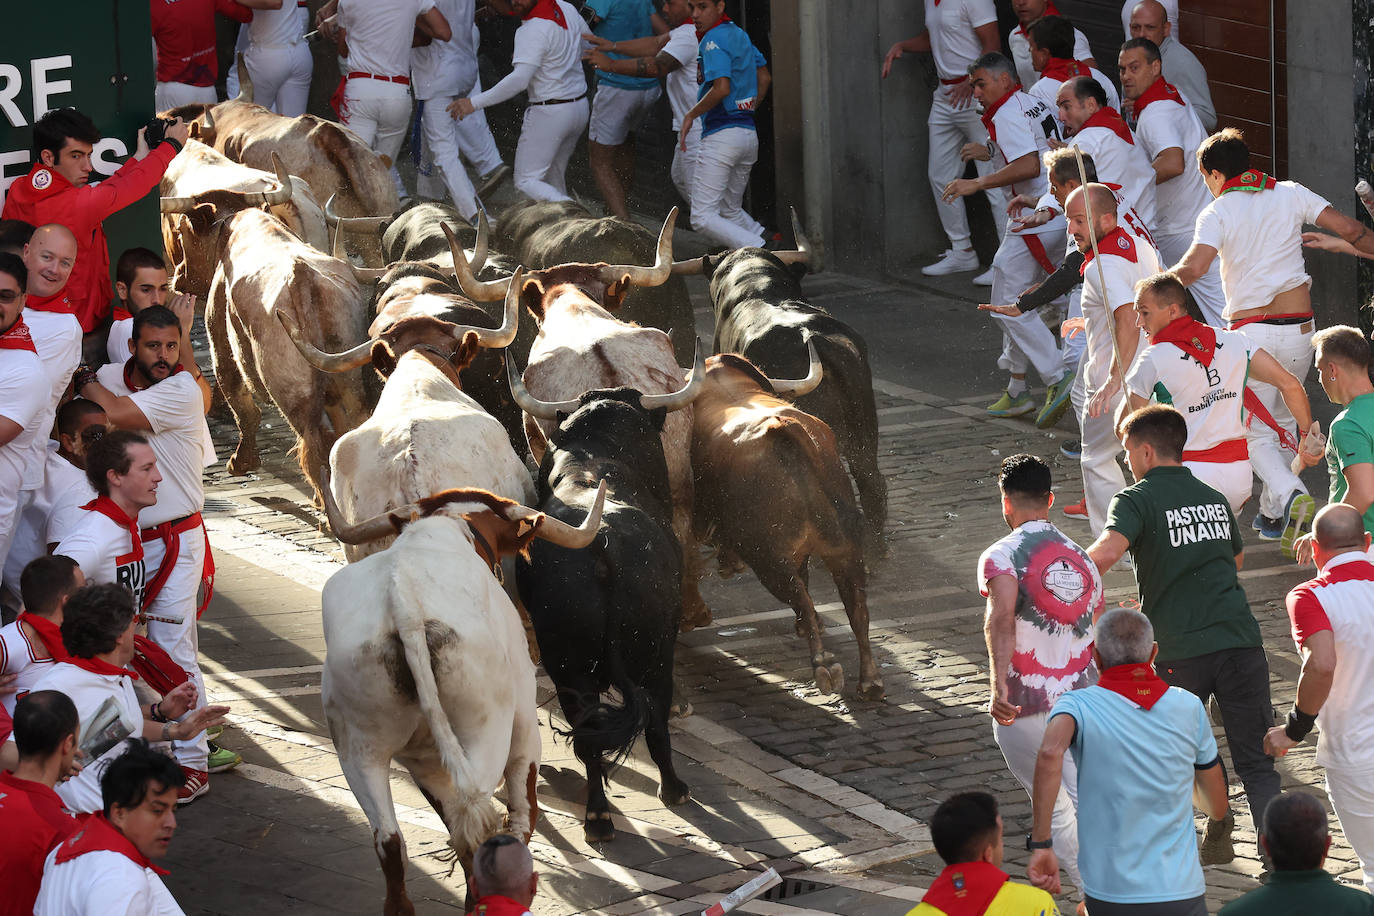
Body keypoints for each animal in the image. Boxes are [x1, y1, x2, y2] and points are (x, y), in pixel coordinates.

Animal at [320, 477, 607, 911]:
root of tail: (404, 606)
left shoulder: (426, 760)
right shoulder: (525, 728)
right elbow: (521, 811)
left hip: (359, 747)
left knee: (393, 840)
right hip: (486, 733)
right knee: (477, 824)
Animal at [692, 347, 884, 697]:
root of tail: (783, 430)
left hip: (769, 559)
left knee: (801, 597)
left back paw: (824, 664)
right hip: (844, 548)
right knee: (856, 606)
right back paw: (870, 679)